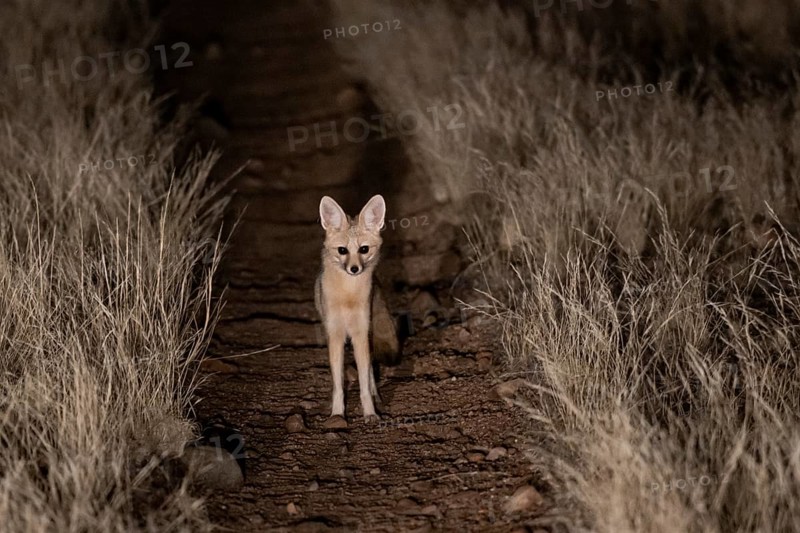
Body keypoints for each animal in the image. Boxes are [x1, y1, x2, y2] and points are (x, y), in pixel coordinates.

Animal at [315, 194, 400, 426]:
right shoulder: (335, 335)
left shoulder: (360, 334)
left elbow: (364, 383)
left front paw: (370, 412)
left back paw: (377, 398)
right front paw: (337, 414)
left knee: (370, 371)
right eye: (342, 250)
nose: (354, 269)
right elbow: (338, 385)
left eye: (364, 249)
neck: (348, 297)